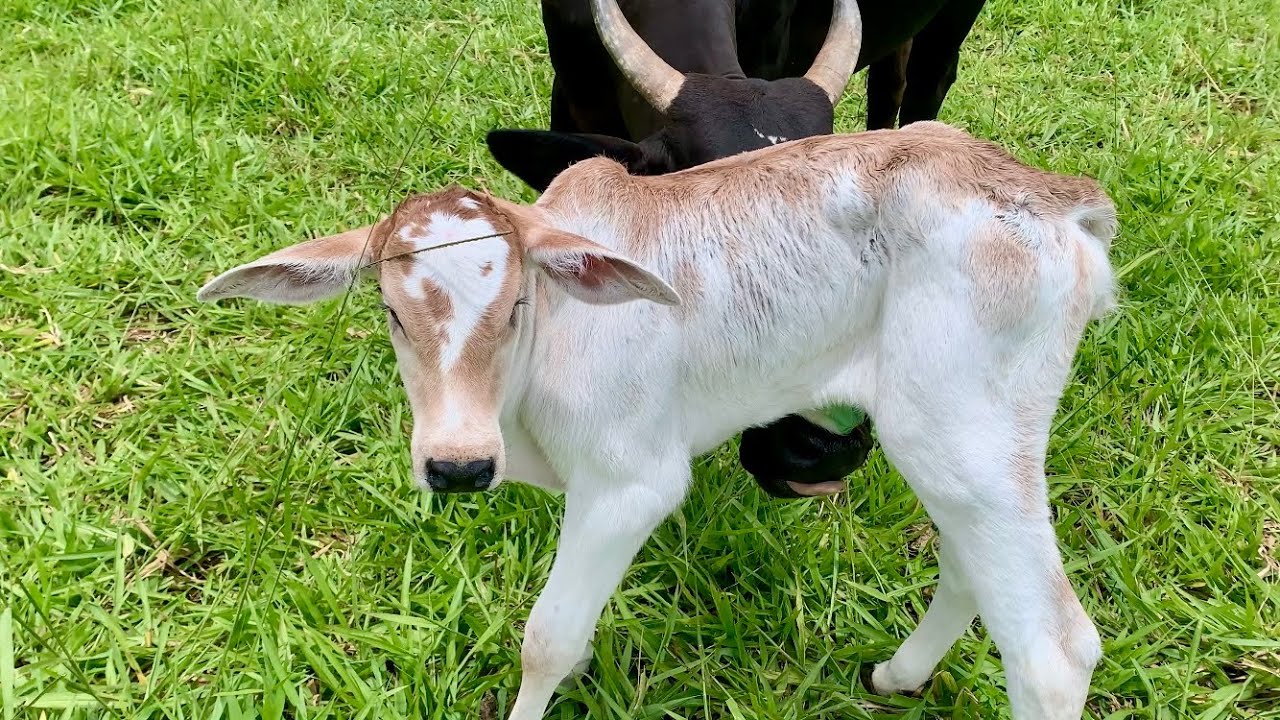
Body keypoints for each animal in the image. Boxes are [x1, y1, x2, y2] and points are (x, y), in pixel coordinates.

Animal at [198, 121, 1116, 720]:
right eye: (391, 311)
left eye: (516, 304)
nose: (458, 466)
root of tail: (1056, 200)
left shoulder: (629, 485)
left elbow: (548, 639)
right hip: (962, 450)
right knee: (969, 569)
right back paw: (896, 676)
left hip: (958, 438)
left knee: (1054, 653)